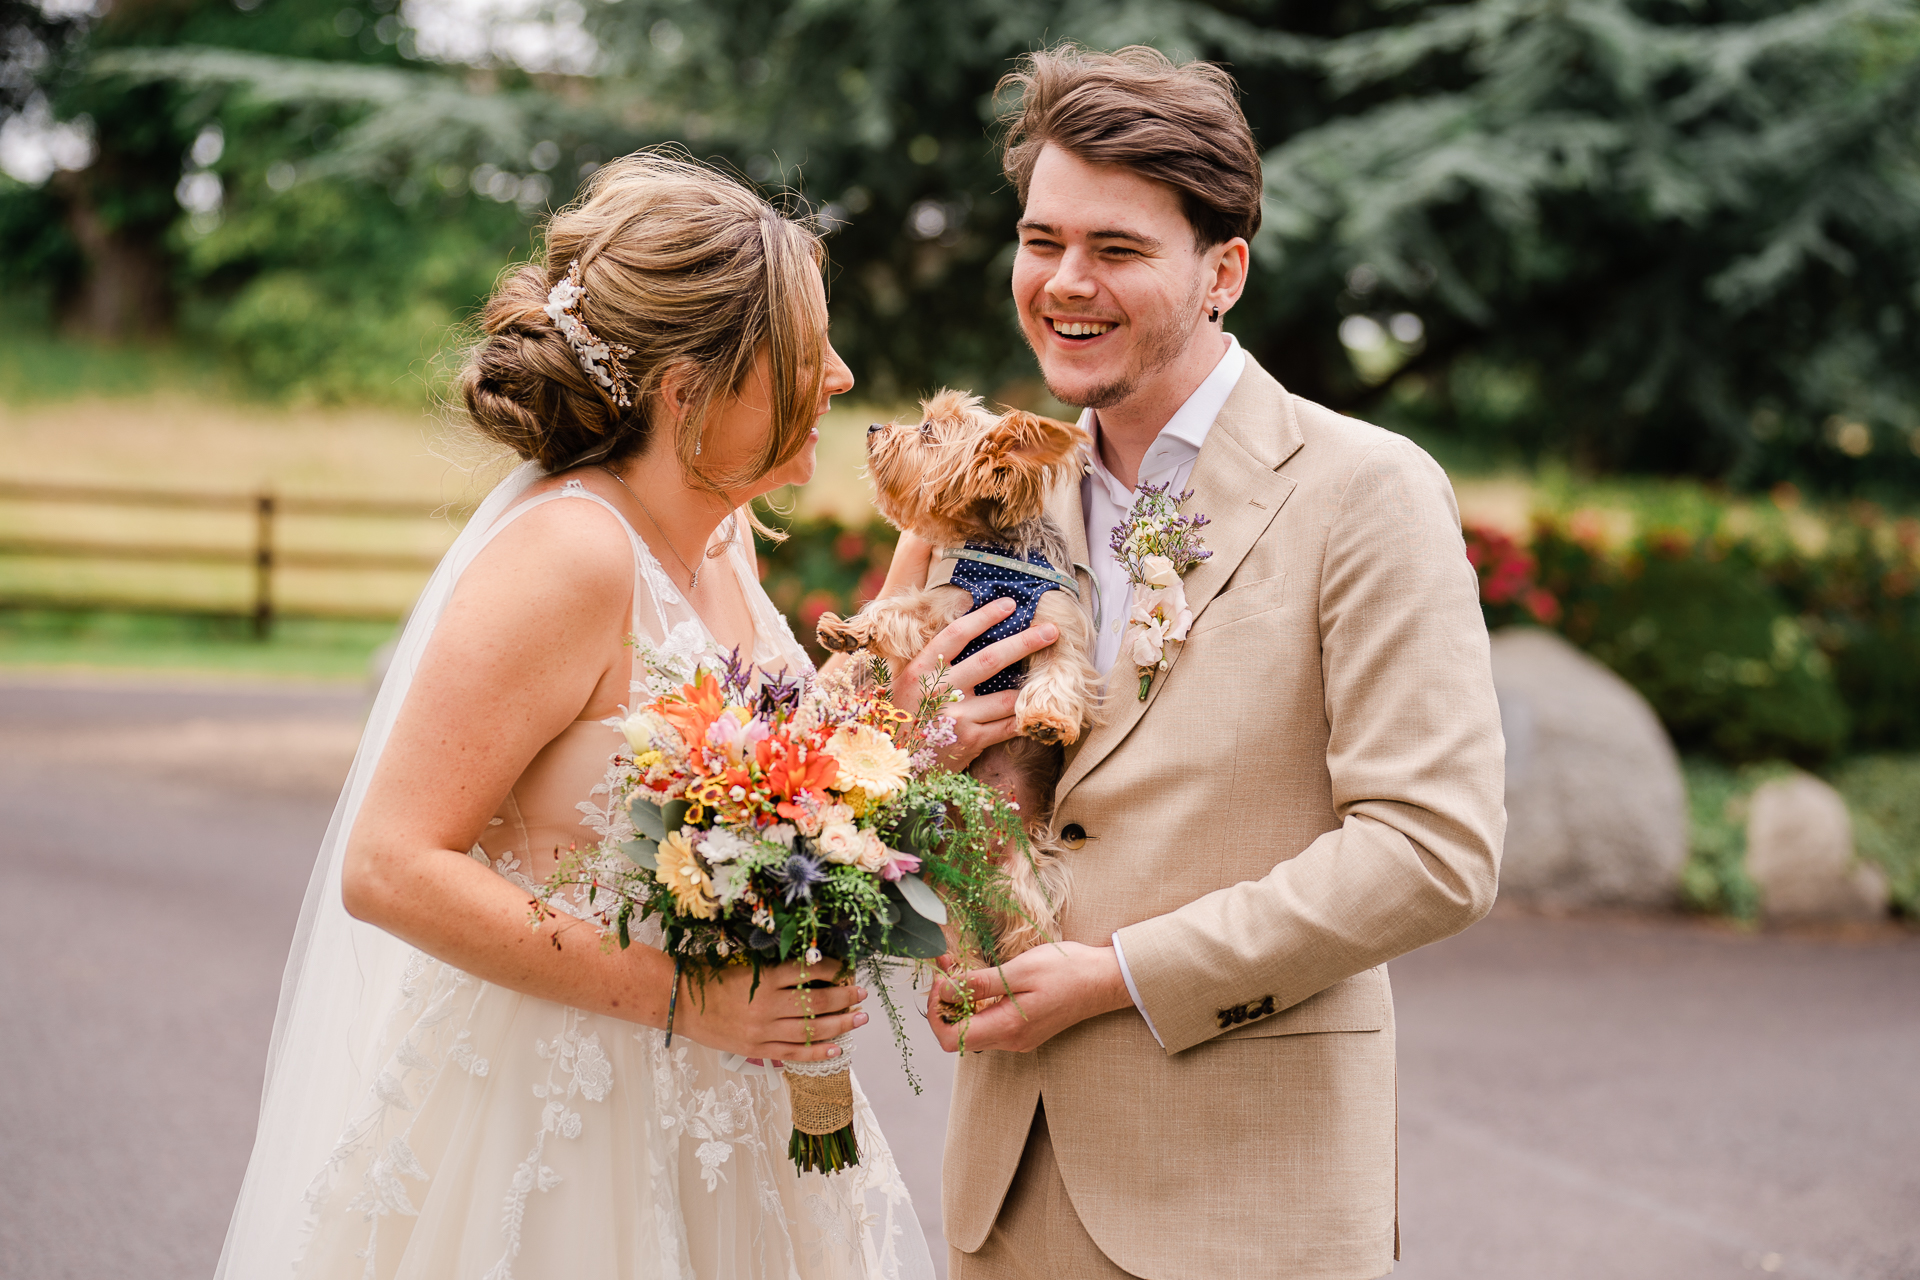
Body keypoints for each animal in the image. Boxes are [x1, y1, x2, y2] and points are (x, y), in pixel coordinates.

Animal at [817, 395, 1105, 955]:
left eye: (928, 430)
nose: (874, 425)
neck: (1000, 562)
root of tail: (970, 856)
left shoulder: (1059, 628)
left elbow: (1059, 672)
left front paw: (1048, 720)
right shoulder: (948, 606)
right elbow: (895, 610)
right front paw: (850, 631)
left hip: (1020, 879)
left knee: (1024, 925)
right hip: (944, 897)